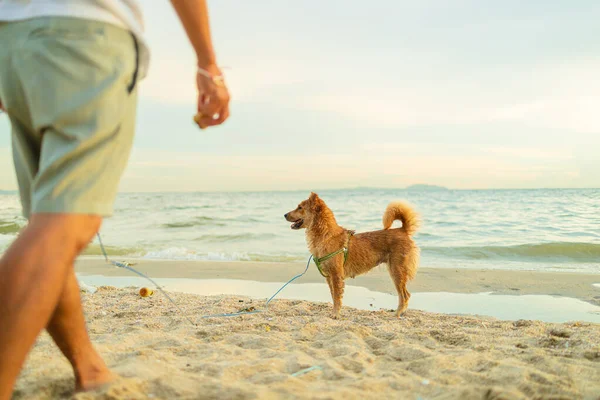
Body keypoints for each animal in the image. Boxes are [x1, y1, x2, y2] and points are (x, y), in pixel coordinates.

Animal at [284, 193, 420, 318]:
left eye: (300, 207)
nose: (284, 214)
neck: (326, 235)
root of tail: (402, 230)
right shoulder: (329, 277)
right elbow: (334, 296)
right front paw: (334, 312)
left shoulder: (336, 275)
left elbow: (337, 298)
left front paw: (335, 314)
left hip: (396, 271)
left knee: (405, 295)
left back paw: (397, 314)